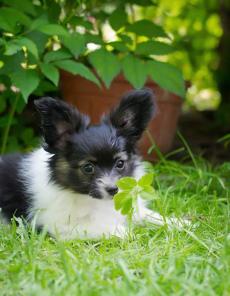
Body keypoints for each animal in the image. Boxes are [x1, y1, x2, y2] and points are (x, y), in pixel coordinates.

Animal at [0, 89, 187, 239]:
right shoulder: (58, 226)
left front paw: (180, 223)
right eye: (88, 168)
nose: (113, 189)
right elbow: (103, 227)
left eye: (120, 163)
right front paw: (129, 233)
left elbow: (150, 215)